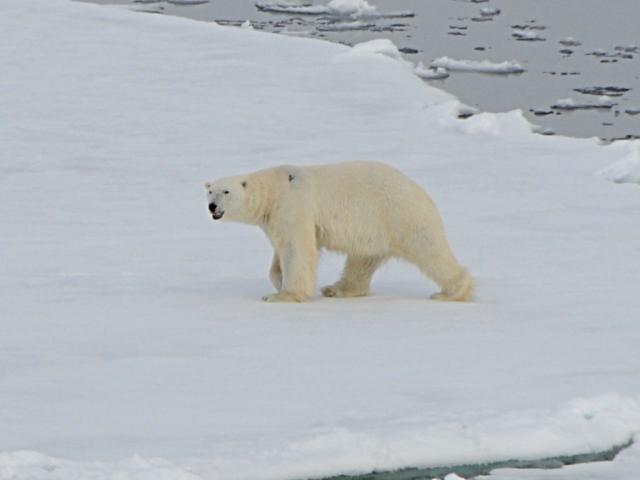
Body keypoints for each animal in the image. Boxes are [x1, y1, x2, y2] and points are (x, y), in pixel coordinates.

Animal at [205, 161, 476, 304]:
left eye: (226, 191)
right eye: (209, 191)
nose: (212, 206)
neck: (275, 188)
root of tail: (424, 194)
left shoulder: (294, 205)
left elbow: (297, 249)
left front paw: (283, 295)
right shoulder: (274, 219)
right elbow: (279, 252)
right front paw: (278, 281)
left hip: (400, 215)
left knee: (429, 249)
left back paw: (451, 292)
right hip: (373, 229)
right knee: (362, 261)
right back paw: (337, 289)